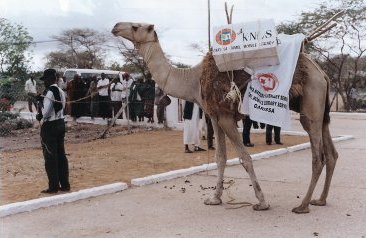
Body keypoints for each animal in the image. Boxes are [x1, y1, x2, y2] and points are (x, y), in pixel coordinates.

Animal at [111, 21, 338, 213]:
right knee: (332, 153)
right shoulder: (215, 116)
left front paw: (262, 202)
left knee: (317, 156)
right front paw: (215, 198)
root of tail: (323, 75)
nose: (115, 27)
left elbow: (245, 158)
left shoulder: (226, 117)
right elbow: (220, 157)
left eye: (136, 26)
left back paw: (303, 205)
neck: (192, 80)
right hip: (323, 112)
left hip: (311, 106)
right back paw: (320, 200)